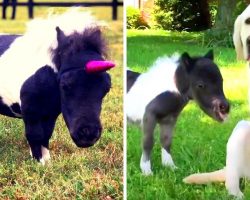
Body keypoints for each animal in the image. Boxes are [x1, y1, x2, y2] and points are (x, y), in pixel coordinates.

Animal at [0, 9, 115, 164]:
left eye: (106, 88)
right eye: (65, 85)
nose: (88, 135)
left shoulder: (50, 114)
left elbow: (46, 135)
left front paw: (47, 162)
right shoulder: (31, 114)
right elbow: (34, 135)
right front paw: (39, 163)